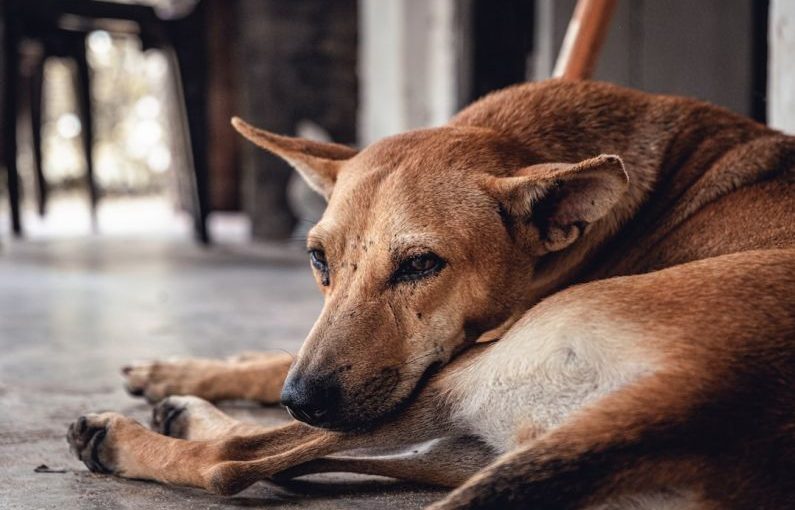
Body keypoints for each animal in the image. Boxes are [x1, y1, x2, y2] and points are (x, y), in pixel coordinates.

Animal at [68, 78, 795, 506]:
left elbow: (267, 397)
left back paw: (130, 436)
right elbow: (273, 360)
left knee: (235, 460)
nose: (302, 399)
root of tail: (690, 404)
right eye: (316, 259)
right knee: (284, 458)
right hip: (466, 445)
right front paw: (185, 368)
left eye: (421, 264)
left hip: (452, 380)